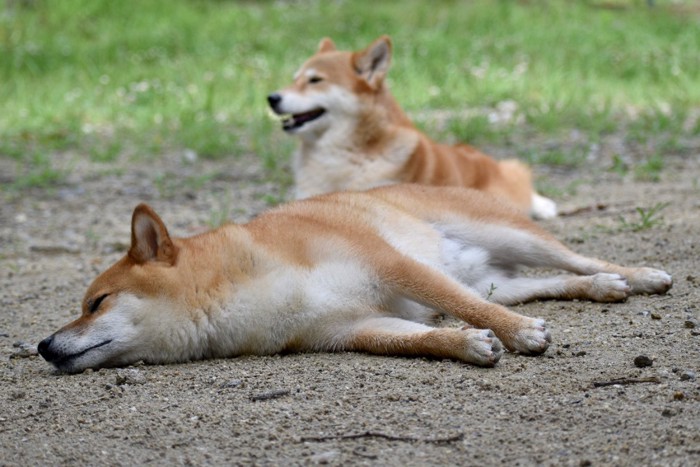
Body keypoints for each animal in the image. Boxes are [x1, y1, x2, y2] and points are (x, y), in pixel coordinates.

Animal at [39, 186, 672, 372]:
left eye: (96, 303)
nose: (43, 344)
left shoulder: (390, 265)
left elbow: (462, 308)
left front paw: (516, 335)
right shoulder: (348, 328)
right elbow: (423, 338)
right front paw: (466, 344)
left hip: (507, 234)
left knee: (578, 260)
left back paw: (635, 275)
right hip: (497, 275)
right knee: (546, 283)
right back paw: (600, 289)